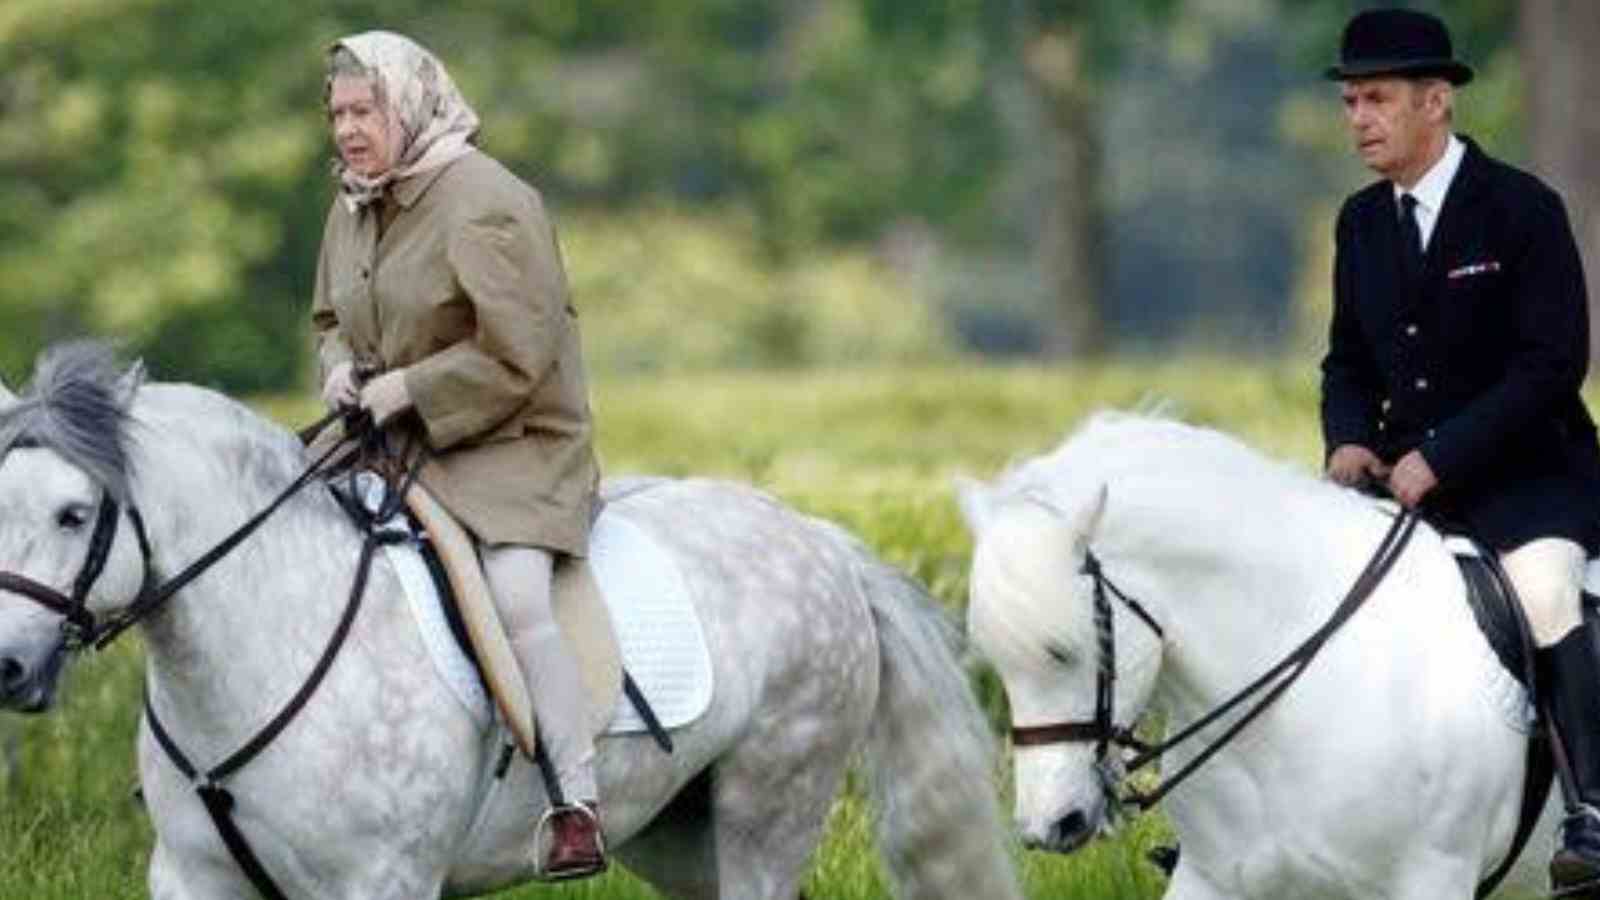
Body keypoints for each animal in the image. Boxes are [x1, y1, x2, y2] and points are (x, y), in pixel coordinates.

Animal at [0, 341, 1021, 900]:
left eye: (75, 514)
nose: (6, 670)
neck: (264, 646)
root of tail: (818, 539)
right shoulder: (195, 879)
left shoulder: (382, 882)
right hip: (679, 836)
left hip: (767, 807)